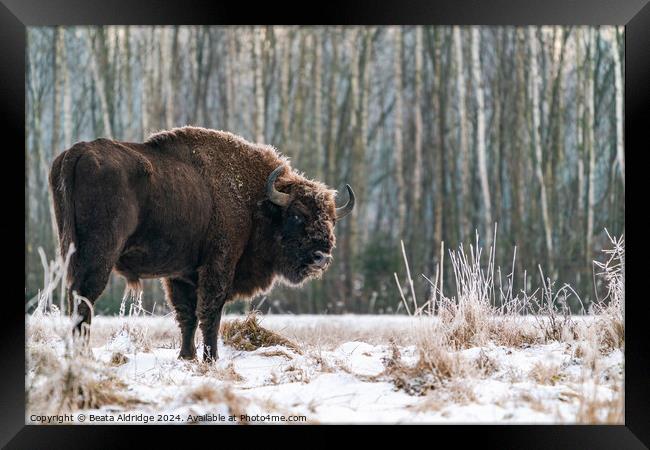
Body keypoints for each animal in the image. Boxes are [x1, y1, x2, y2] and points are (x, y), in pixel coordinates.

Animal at [48, 125, 354, 358]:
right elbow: (210, 312)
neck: (254, 201)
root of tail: (78, 152)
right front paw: (211, 358)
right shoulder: (218, 264)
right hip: (99, 255)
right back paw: (83, 355)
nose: (321, 257)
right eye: (296, 215)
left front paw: (187, 356)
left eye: (331, 219)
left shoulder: (181, 274)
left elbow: (187, 315)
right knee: (85, 298)